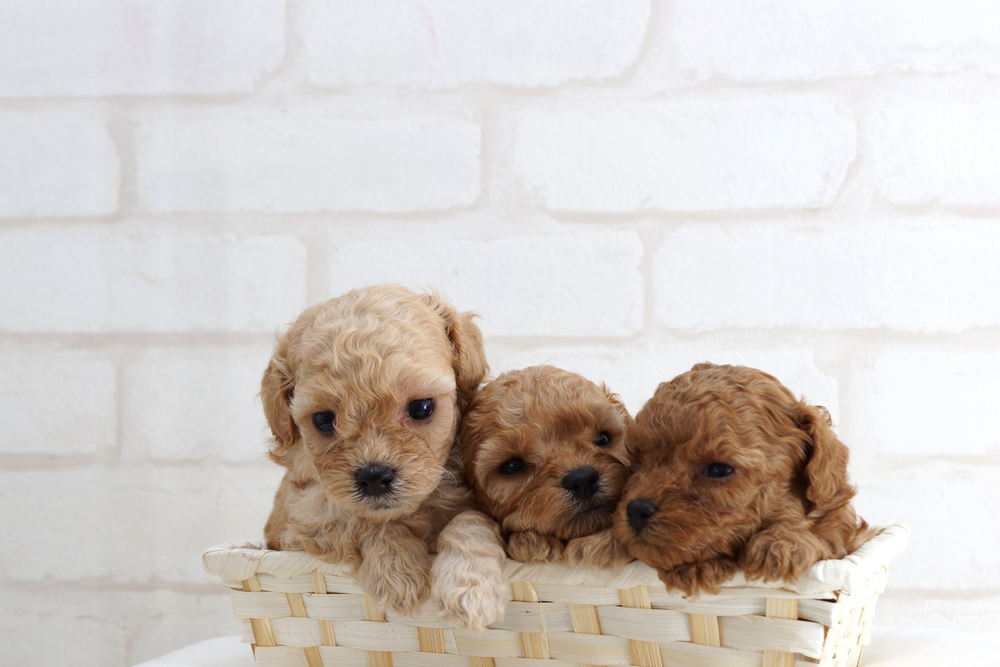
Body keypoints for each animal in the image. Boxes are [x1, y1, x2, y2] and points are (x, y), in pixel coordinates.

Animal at [260, 286, 490, 616]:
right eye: (323, 420)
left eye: (422, 408)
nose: (374, 477)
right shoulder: (302, 521)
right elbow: (354, 519)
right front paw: (399, 571)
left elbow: (469, 521)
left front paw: (471, 589)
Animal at [616, 362, 876, 596]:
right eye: (638, 461)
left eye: (718, 470)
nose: (636, 509)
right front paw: (696, 567)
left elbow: (827, 536)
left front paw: (784, 544)